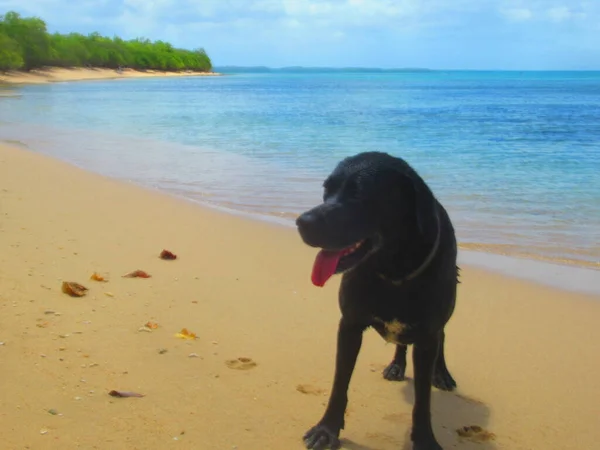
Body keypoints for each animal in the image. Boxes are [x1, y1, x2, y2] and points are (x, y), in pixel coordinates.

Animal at [296, 152, 460, 450]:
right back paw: (397, 365)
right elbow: (340, 382)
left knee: (442, 335)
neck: (391, 271)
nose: (302, 221)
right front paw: (327, 429)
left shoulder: (426, 336)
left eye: (359, 194)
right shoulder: (349, 326)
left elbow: (422, 400)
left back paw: (441, 373)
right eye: (327, 190)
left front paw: (424, 440)